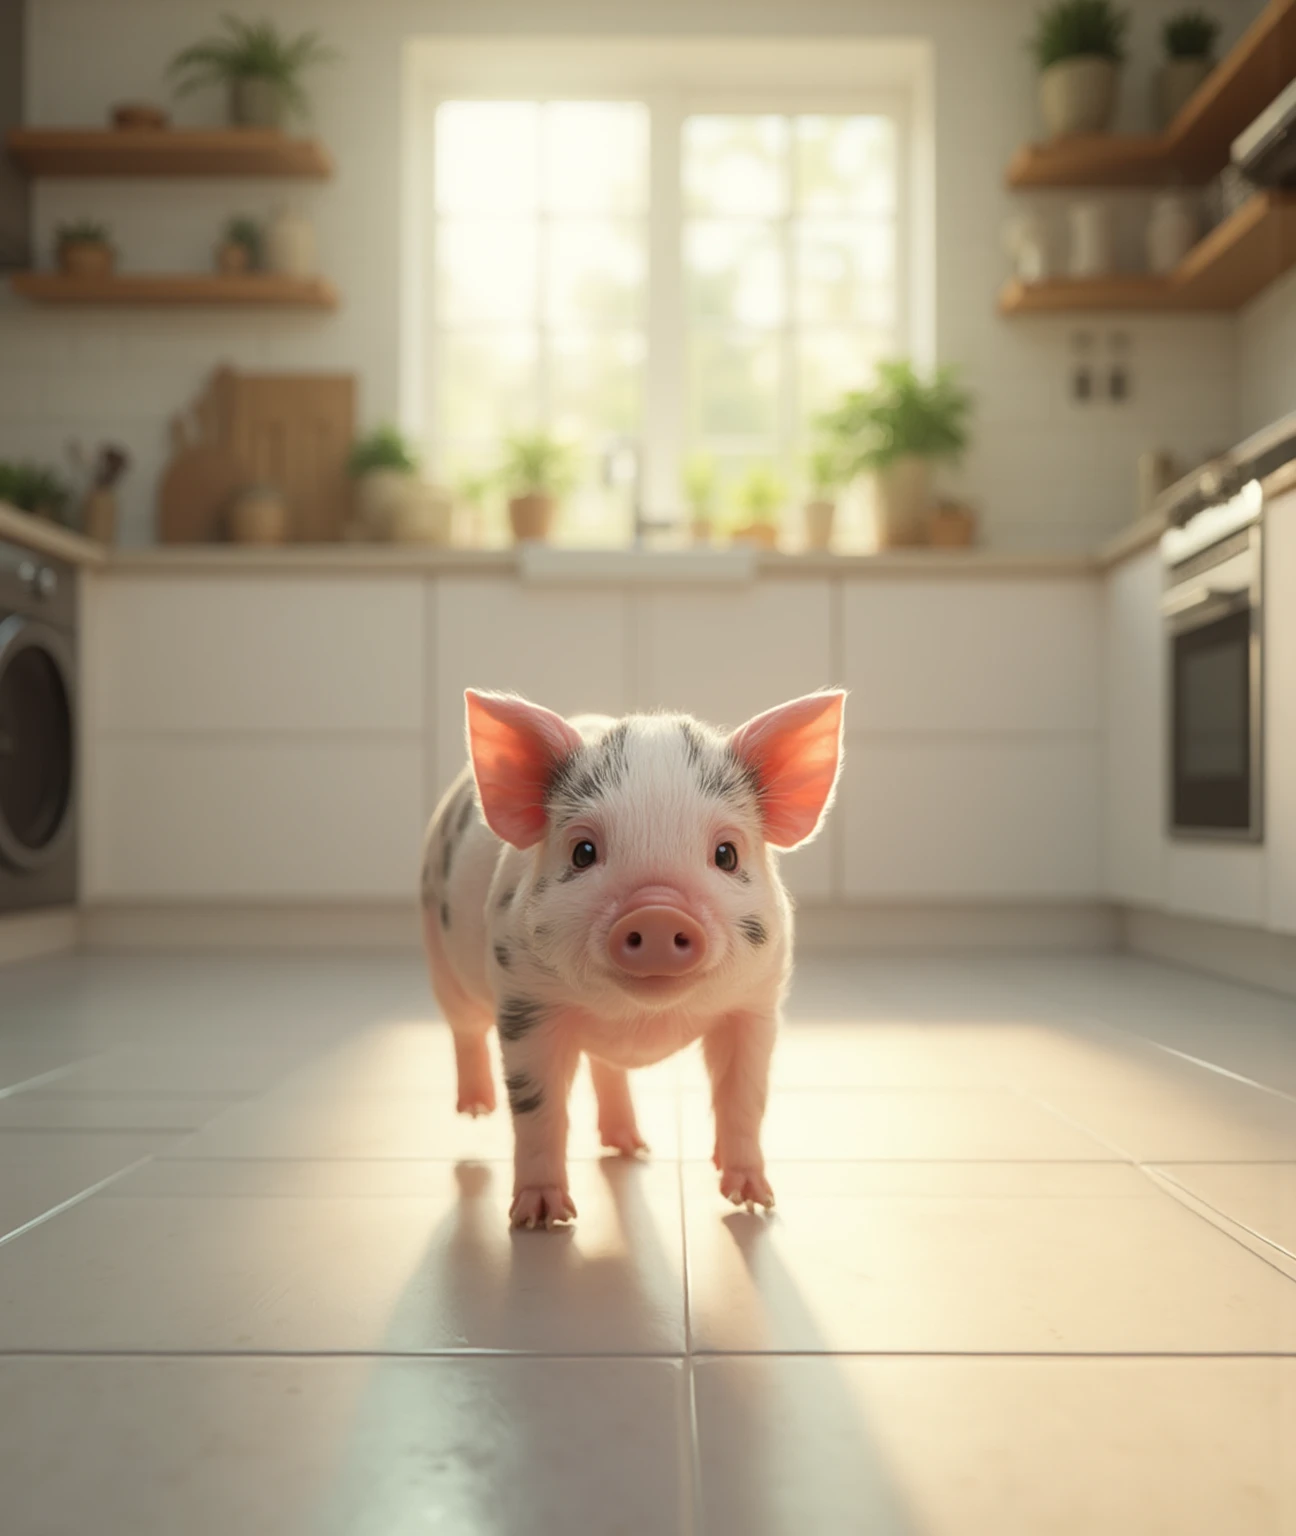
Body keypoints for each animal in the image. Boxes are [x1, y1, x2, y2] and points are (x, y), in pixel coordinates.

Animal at [420, 688, 846, 1229]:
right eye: (583, 852)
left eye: (726, 854)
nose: (659, 912)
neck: (640, 1019)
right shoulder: (525, 1002)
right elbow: (539, 1110)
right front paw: (543, 1219)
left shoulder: (756, 1005)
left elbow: (744, 1098)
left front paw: (755, 1203)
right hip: (439, 955)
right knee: (466, 1029)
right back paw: (476, 1108)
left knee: (609, 1070)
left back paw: (633, 1148)